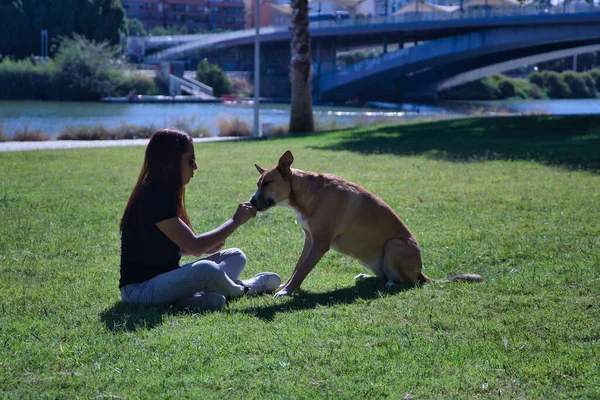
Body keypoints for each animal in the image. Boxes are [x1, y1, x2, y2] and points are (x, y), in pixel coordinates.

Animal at [250, 150, 482, 296]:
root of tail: (421, 273)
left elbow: (302, 270)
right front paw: (287, 287)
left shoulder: (320, 244)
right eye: (258, 183)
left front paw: (286, 292)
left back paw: (391, 284)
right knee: (383, 276)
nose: (251, 202)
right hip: (364, 255)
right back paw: (366, 278)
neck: (305, 193)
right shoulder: (310, 240)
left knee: (406, 282)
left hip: (394, 245)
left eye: (267, 183)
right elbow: (298, 267)